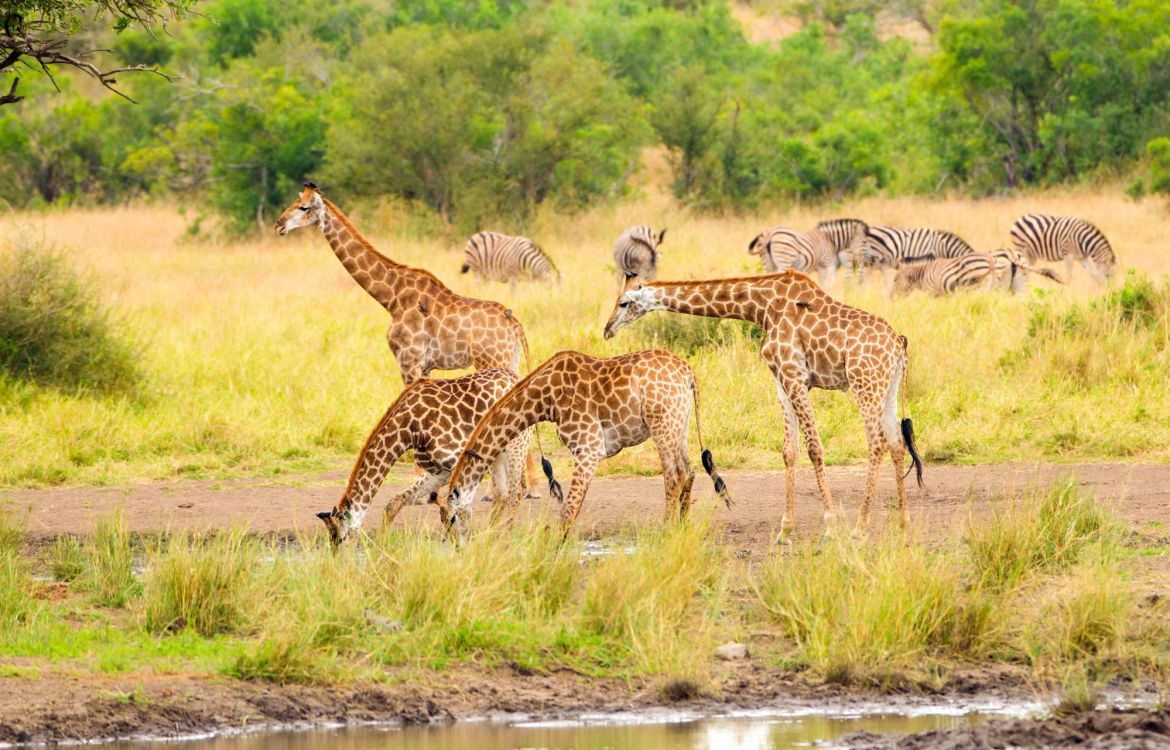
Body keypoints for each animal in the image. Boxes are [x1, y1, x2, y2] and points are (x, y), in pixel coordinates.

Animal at [313, 367, 528, 547]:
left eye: (340, 538)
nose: (340, 559)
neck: (409, 428)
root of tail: (512, 376)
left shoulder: (457, 460)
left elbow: (457, 511)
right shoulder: (439, 471)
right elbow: (394, 503)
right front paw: (383, 547)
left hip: (516, 444)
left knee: (515, 494)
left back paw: (505, 538)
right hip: (496, 450)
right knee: (501, 494)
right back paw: (490, 538)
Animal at [442, 351, 725, 542]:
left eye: (451, 518)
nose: (457, 545)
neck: (545, 400)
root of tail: (688, 373)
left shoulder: (589, 447)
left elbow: (569, 508)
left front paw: (553, 549)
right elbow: (574, 505)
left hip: (661, 423)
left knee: (674, 474)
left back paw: (666, 530)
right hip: (679, 424)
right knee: (688, 470)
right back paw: (682, 529)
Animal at [603, 269, 921, 538]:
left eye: (623, 303)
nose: (607, 329)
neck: (762, 306)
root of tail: (899, 344)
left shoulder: (794, 374)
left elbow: (814, 448)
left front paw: (831, 526)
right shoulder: (781, 379)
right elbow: (789, 451)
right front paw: (785, 530)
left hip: (864, 383)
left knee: (876, 443)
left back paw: (860, 528)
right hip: (888, 387)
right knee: (896, 443)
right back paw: (904, 523)